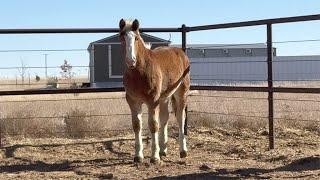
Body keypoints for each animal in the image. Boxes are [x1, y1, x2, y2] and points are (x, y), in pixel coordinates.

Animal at [119, 18, 190, 163]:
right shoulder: (133, 101)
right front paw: (138, 156)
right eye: (122, 37)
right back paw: (163, 150)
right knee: (165, 118)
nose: (131, 61)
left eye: (136, 38)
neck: (139, 72)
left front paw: (154, 157)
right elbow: (137, 125)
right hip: (164, 97)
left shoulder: (152, 100)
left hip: (181, 93)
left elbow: (153, 125)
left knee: (181, 118)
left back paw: (183, 151)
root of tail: (181, 52)